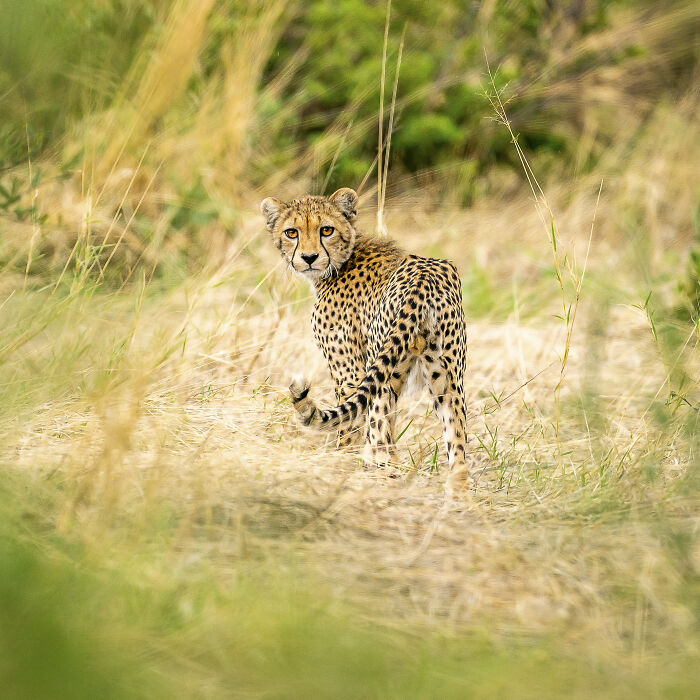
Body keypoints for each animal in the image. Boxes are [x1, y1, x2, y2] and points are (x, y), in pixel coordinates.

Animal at [260, 187, 469, 488]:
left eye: (326, 230)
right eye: (291, 232)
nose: (309, 257)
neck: (343, 259)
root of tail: (424, 277)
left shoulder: (349, 374)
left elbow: (349, 429)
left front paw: (340, 465)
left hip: (382, 377)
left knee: (383, 443)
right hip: (447, 379)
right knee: (458, 453)